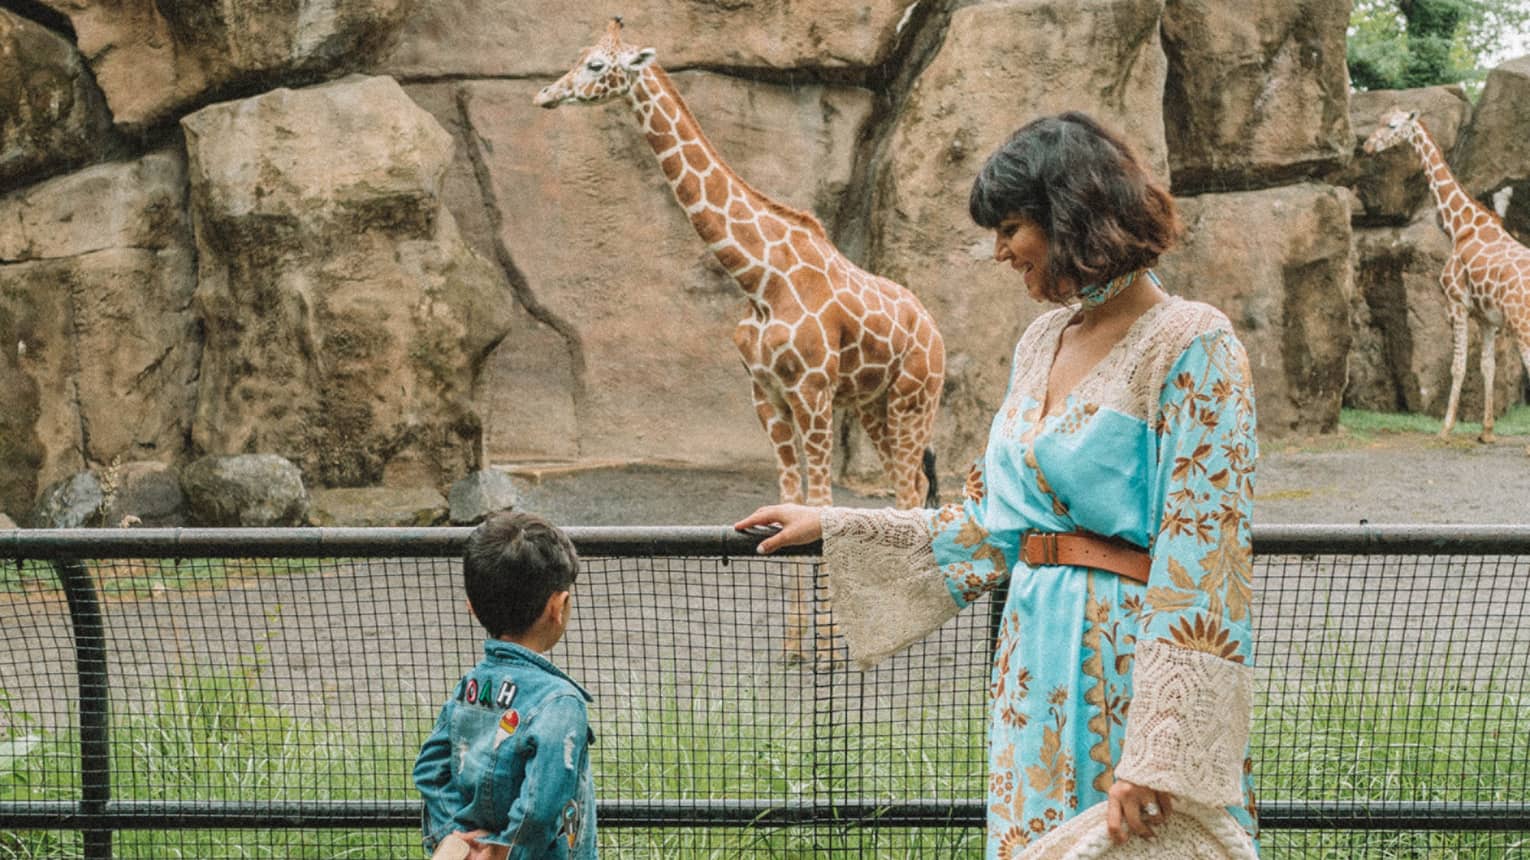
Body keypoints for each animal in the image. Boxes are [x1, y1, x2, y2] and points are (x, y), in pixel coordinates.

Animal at [535, 21, 942, 664]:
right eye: (579, 58)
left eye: (597, 65)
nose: (546, 94)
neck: (758, 277)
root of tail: (934, 327)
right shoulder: (767, 395)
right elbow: (789, 505)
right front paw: (795, 647)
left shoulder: (812, 391)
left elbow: (821, 506)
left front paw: (828, 650)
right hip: (874, 406)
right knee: (915, 487)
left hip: (913, 399)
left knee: (909, 491)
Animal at [1364, 108, 1530, 440]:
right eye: (1379, 120)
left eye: (1392, 126)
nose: (1367, 146)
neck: (1461, 227)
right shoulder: (1486, 317)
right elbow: (1488, 366)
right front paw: (1487, 432)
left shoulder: (1456, 303)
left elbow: (1459, 366)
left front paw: (1445, 428)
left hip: (1522, 322)